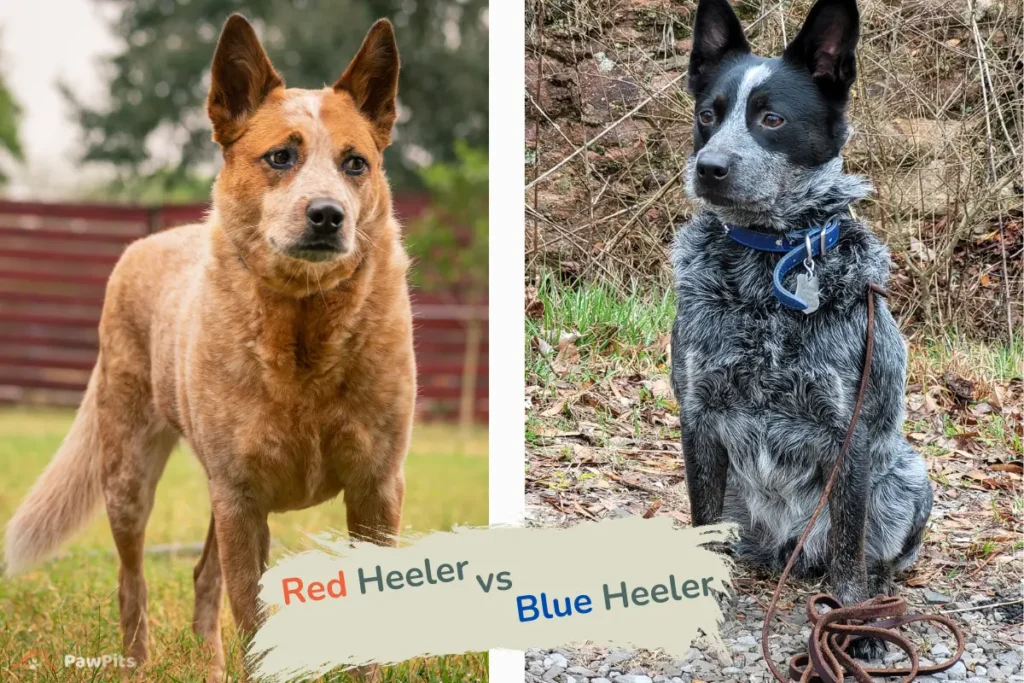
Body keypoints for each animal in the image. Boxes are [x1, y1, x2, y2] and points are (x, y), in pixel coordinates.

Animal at [671, 0, 937, 655]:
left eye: (772, 119)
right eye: (708, 116)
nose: (708, 167)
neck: (768, 266)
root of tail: (790, 547)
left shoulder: (851, 432)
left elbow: (848, 549)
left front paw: (854, 622)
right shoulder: (698, 414)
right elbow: (702, 521)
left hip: (905, 475)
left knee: (872, 554)